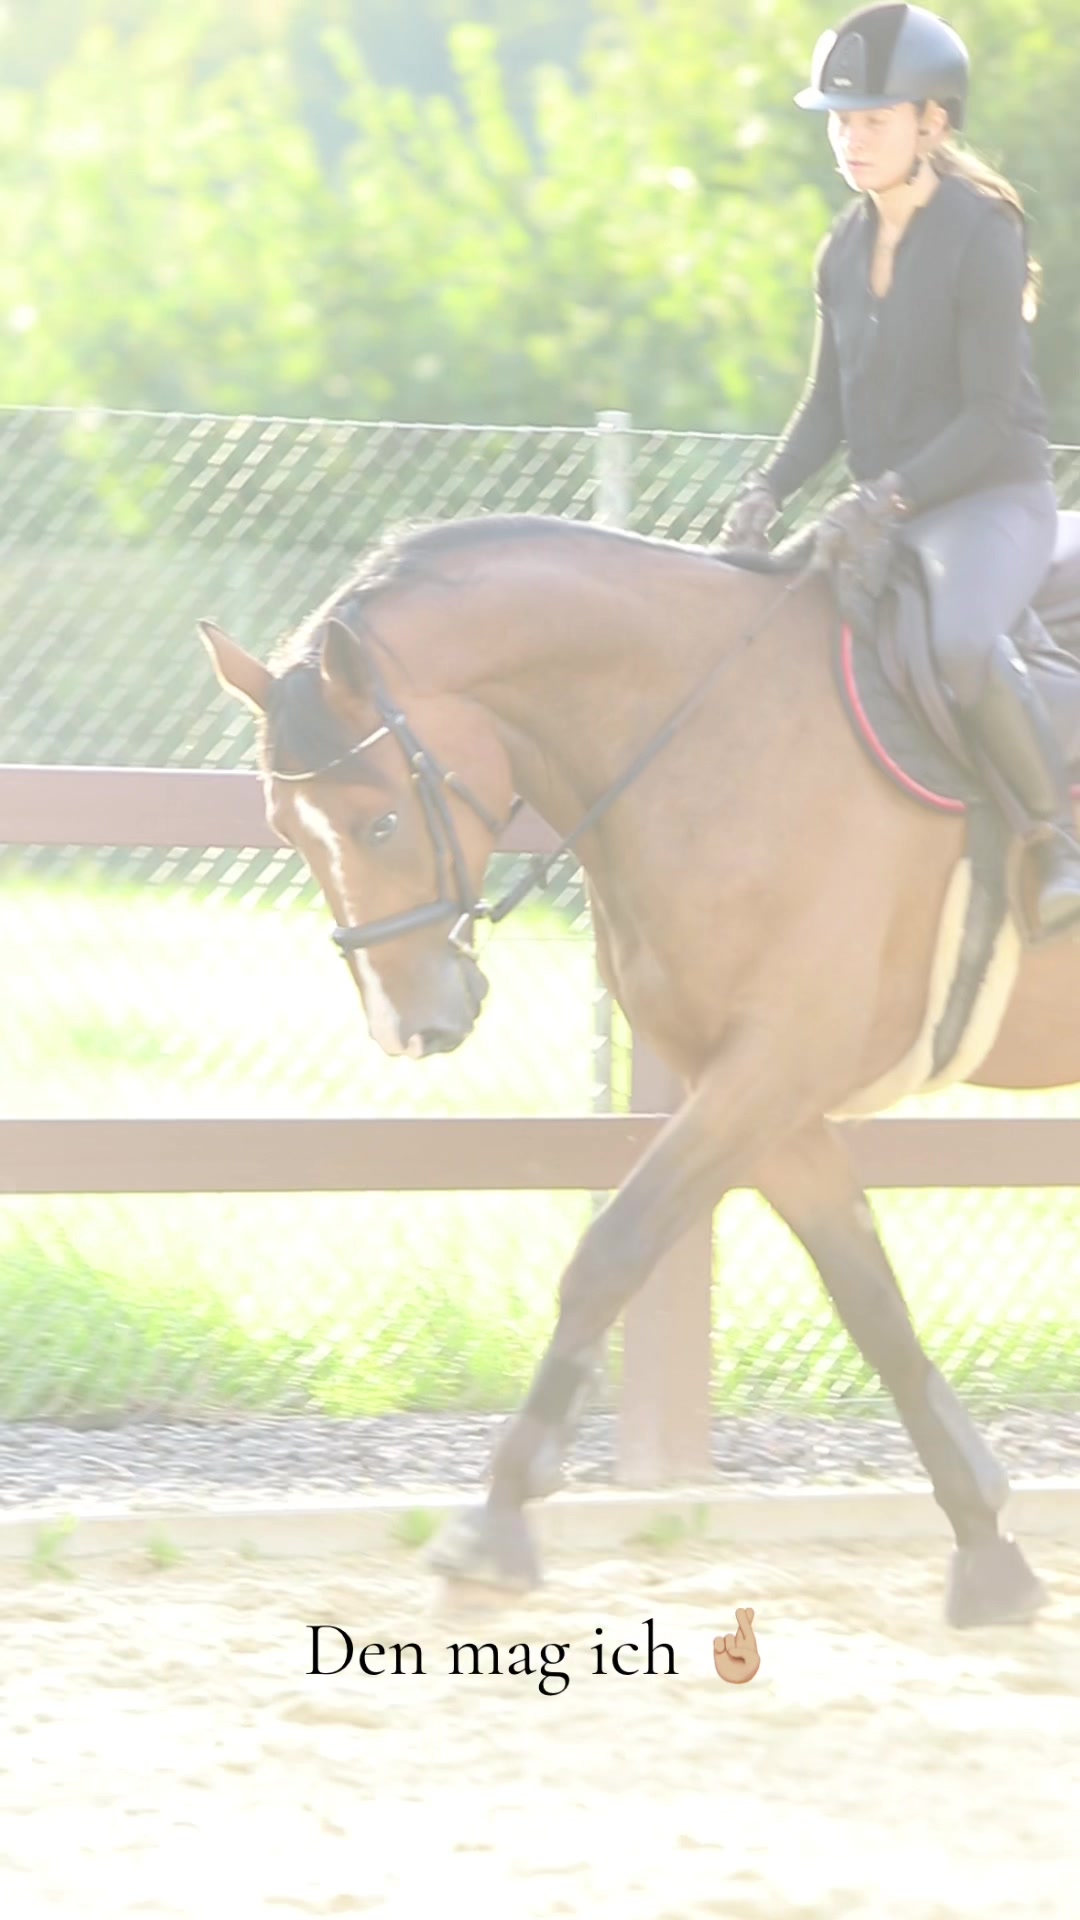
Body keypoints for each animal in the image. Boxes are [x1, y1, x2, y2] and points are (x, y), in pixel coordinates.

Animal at [198, 507, 1080, 1630]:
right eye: (286, 828)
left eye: (381, 820)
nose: (411, 1025)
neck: (716, 725)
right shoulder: (765, 1096)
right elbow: (872, 1303)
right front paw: (988, 1547)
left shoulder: (773, 1067)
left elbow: (609, 1256)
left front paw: (494, 1527)